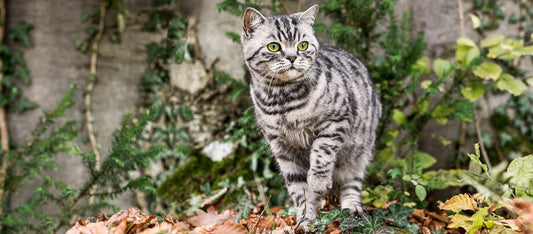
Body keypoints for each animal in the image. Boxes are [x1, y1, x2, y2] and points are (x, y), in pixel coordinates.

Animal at [239, 3, 380, 227]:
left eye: (303, 45)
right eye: (273, 47)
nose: (292, 57)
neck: (283, 99)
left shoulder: (335, 122)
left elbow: (321, 152)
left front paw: (319, 182)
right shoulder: (281, 148)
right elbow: (299, 189)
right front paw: (305, 220)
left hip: (359, 153)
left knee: (351, 183)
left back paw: (351, 208)